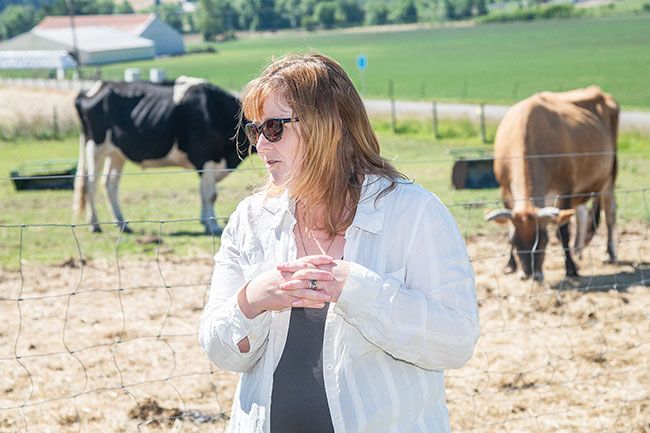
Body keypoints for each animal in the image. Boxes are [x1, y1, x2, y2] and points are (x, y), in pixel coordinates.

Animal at [72, 76, 249, 235]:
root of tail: (96, 88)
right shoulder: (205, 160)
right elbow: (210, 195)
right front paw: (213, 226)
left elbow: (205, 193)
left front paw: (205, 222)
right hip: (96, 148)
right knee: (90, 184)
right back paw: (94, 225)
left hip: (116, 154)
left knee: (109, 184)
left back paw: (122, 223)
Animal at [486, 86, 616, 282]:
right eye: (517, 241)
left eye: (543, 240)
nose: (531, 274)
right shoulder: (505, 191)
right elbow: (509, 229)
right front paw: (510, 265)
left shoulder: (565, 190)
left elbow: (563, 232)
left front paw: (571, 269)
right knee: (582, 214)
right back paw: (579, 251)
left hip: (609, 177)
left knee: (609, 215)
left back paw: (610, 254)